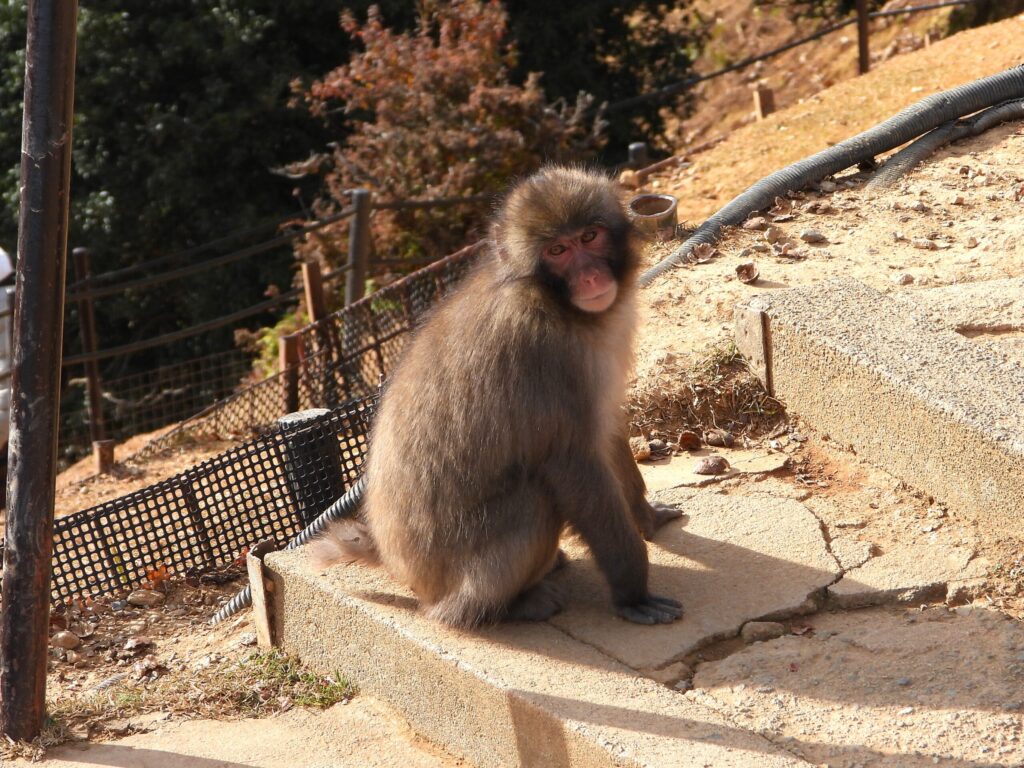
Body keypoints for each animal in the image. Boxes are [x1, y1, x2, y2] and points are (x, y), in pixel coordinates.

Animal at [313, 166, 683, 628]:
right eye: (558, 250)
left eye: (589, 237)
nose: (590, 277)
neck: (556, 305)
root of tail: (401, 568)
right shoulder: (542, 356)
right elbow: (571, 462)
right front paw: (633, 592)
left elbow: (610, 427)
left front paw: (646, 516)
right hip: (467, 569)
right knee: (536, 499)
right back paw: (504, 606)